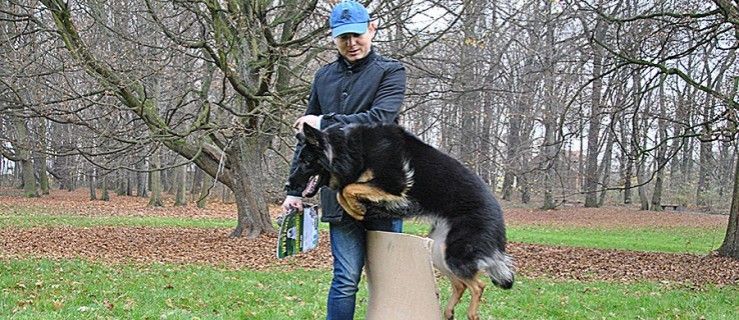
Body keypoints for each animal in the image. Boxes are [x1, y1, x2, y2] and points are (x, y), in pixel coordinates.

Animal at [286, 123, 512, 320]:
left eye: (306, 160)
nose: (288, 184)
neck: (353, 148)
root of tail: (498, 215)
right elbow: (344, 191)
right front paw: (358, 209)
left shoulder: (394, 184)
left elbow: (346, 188)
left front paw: (357, 209)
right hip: (440, 251)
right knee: (462, 285)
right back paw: (448, 312)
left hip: (455, 254)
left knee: (478, 286)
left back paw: (472, 314)